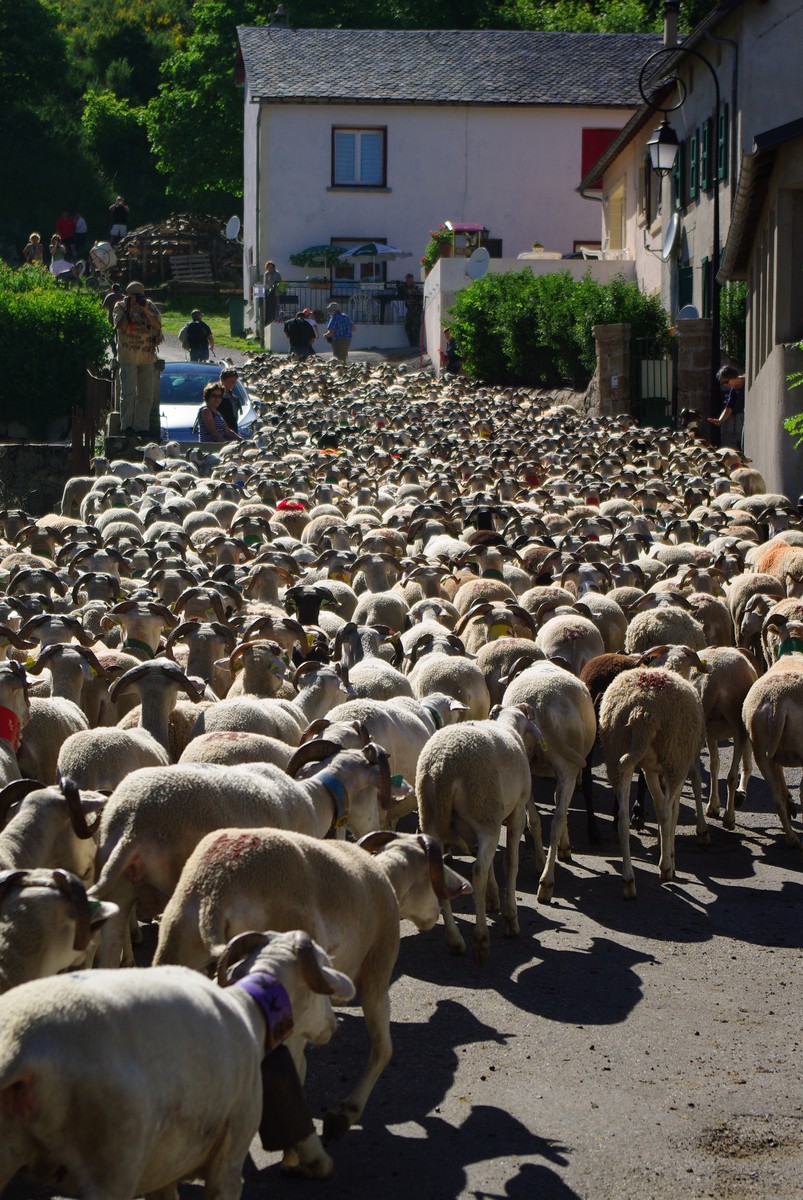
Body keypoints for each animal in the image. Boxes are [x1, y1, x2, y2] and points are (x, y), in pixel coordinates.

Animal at [0, 926, 352, 1190]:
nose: (333, 1025)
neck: (249, 1009)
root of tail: (21, 1050)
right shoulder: (228, 1162)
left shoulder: (165, 1165)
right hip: (109, 1164)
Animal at [152, 825, 465, 1142]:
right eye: (431, 878)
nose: (435, 914)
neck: (385, 877)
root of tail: (215, 893)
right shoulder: (377, 971)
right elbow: (383, 1049)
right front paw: (344, 1115)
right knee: (294, 1067)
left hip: (173, 951)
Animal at [417, 705, 542, 960]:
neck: (509, 725)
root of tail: (443, 768)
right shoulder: (516, 812)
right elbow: (509, 862)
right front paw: (510, 918)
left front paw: (493, 899)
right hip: (485, 813)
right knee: (478, 871)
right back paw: (481, 939)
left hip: (432, 819)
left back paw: (455, 941)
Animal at [597, 672, 705, 897]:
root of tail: (642, 712)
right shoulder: (677, 768)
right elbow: (672, 810)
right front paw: (670, 854)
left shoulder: (650, 770)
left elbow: (658, 802)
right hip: (674, 755)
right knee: (665, 812)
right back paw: (665, 868)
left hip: (616, 752)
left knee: (622, 817)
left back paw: (628, 881)